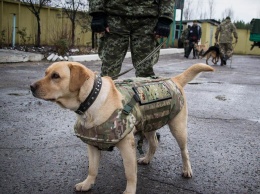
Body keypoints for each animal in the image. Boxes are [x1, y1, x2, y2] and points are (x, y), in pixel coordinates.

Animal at [30, 61, 213, 193]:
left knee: (184, 151)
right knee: (154, 143)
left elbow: (130, 173)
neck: (92, 100)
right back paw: (147, 159)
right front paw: (87, 184)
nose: (31, 87)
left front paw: (129, 191)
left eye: (55, 76)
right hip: (148, 124)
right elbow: (92, 168)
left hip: (178, 128)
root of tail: (173, 79)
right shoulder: (92, 144)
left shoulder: (126, 145)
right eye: (45, 73)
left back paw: (187, 169)